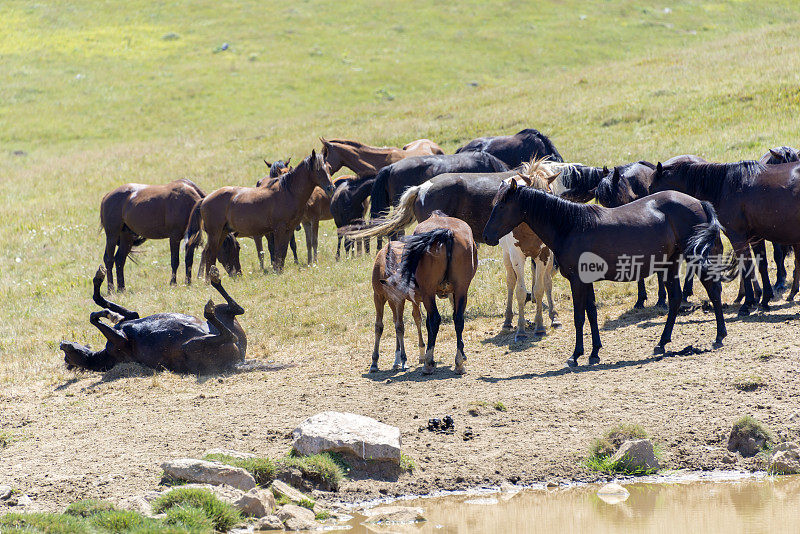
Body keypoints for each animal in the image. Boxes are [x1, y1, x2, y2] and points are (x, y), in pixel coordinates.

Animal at [60, 266, 244, 374]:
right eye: (66, 357)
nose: (62, 344)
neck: (104, 356)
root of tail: (238, 361)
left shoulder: (132, 317)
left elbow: (99, 303)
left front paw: (108, 311)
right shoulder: (121, 341)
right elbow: (93, 317)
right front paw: (108, 314)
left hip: (222, 313)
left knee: (236, 309)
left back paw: (214, 278)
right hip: (191, 346)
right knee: (230, 334)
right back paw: (209, 306)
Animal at [100, 179, 239, 294]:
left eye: (238, 248)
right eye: (227, 250)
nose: (237, 274)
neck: (188, 204)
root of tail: (107, 196)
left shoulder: (190, 240)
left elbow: (189, 260)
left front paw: (188, 282)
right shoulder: (174, 237)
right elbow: (175, 261)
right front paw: (173, 283)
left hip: (126, 236)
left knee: (119, 260)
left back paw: (121, 288)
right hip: (112, 234)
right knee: (109, 259)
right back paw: (110, 289)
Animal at [189, 151, 332, 276]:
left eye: (329, 168)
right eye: (318, 170)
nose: (330, 188)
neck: (288, 192)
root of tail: (204, 200)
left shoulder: (289, 230)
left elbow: (284, 252)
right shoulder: (278, 230)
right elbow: (278, 252)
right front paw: (277, 272)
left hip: (223, 233)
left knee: (211, 254)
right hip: (215, 234)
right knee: (209, 254)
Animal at [368, 211, 476, 374]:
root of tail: (447, 232)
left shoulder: (400, 298)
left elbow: (404, 325)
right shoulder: (385, 297)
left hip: (427, 293)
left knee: (430, 320)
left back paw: (427, 362)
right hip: (460, 288)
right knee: (457, 319)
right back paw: (458, 363)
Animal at [648, 161, 800, 316]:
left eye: (651, 187)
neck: (724, 188)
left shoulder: (738, 237)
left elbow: (746, 266)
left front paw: (747, 303)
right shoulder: (755, 237)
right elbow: (761, 265)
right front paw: (764, 299)